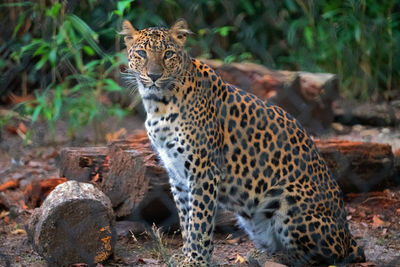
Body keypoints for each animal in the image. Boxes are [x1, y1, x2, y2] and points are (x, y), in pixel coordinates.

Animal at [121, 19, 366, 267]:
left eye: (168, 54)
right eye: (142, 53)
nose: (153, 75)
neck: (158, 105)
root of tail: (348, 235)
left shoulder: (203, 171)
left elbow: (199, 220)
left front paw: (195, 260)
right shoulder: (177, 174)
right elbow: (186, 220)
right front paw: (186, 253)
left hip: (289, 199)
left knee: (324, 257)